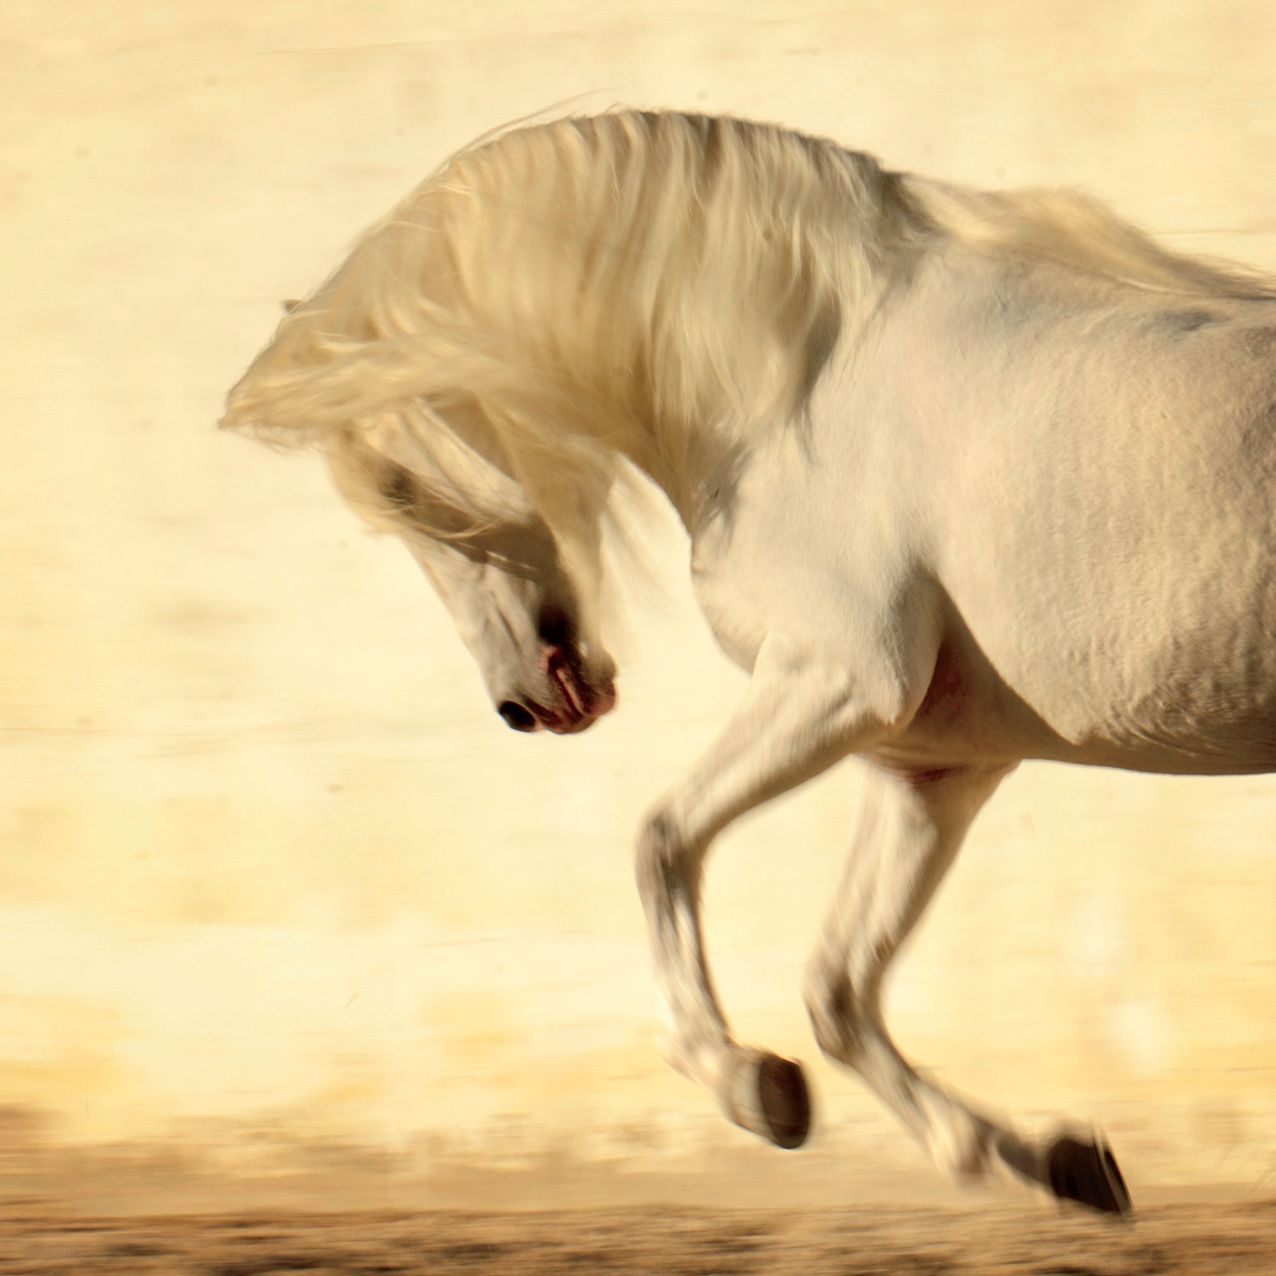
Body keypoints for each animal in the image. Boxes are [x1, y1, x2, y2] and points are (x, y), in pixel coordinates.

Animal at [222, 110, 1276, 1216]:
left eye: (396, 485)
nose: (522, 706)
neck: (802, 383)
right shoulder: (930, 766)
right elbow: (838, 990)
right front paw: (1044, 1157)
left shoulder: (839, 683)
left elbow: (659, 842)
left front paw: (748, 1085)